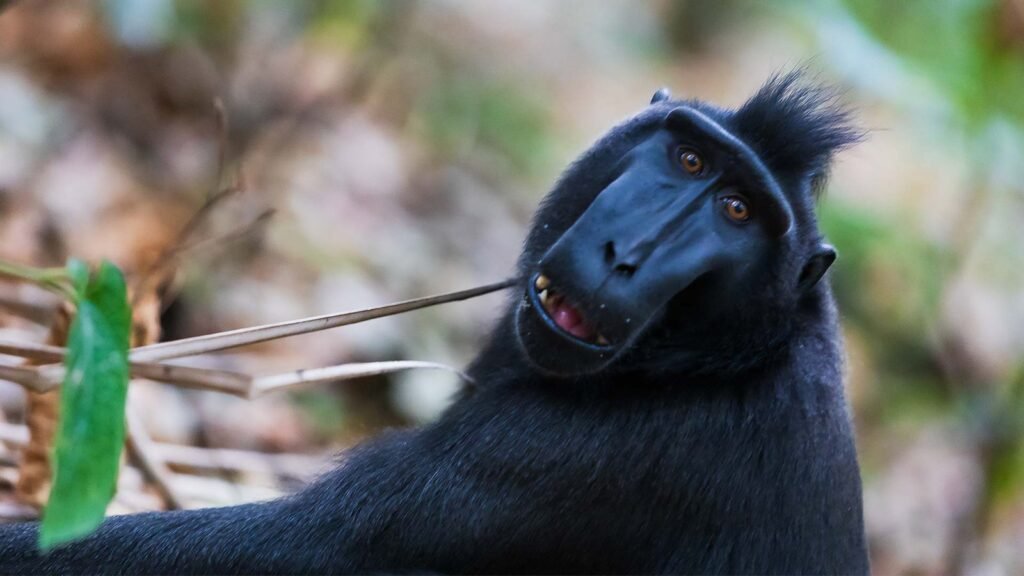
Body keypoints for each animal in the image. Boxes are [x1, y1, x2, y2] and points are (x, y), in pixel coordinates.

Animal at [0, 71, 869, 574]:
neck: (732, 356)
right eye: (690, 159)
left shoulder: (581, 459)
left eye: (739, 211)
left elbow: (303, 544)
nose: (627, 254)